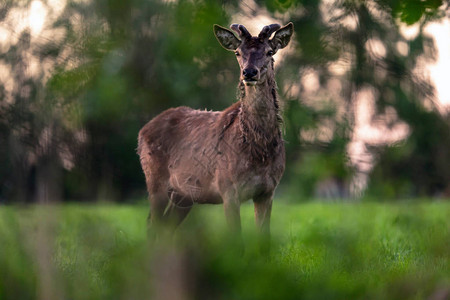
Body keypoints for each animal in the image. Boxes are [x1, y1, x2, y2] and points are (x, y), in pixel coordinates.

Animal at [139, 22, 294, 250]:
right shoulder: (228, 187)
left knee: (166, 226)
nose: (249, 72)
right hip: (154, 180)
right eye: (238, 52)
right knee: (152, 224)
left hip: (184, 195)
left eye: (269, 51)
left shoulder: (268, 190)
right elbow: (237, 241)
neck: (258, 151)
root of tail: (142, 131)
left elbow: (264, 241)